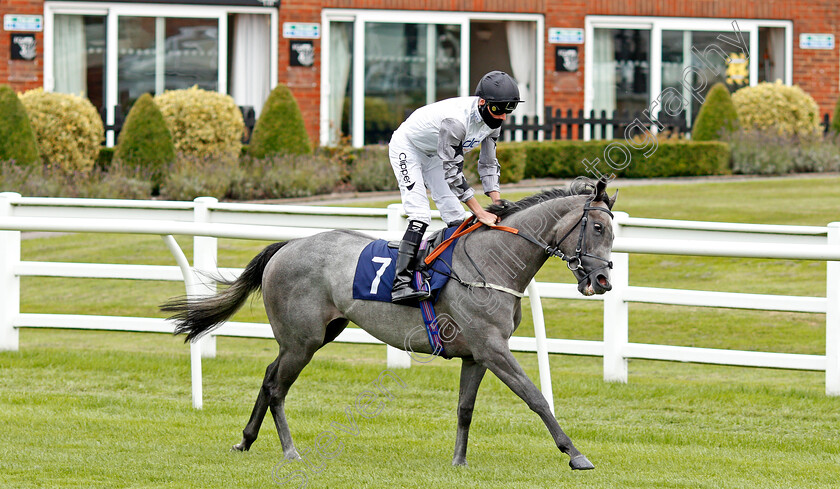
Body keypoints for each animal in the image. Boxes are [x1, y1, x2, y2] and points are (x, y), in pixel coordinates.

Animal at [162, 176, 616, 468]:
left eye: (612, 232)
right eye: (596, 227)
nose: (603, 280)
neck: (491, 262)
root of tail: (287, 245)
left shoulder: (476, 354)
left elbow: (465, 408)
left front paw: (458, 461)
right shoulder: (493, 347)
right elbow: (535, 397)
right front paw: (575, 454)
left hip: (311, 337)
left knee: (268, 376)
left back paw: (245, 440)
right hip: (301, 341)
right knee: (276, 388)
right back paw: (290, 451)